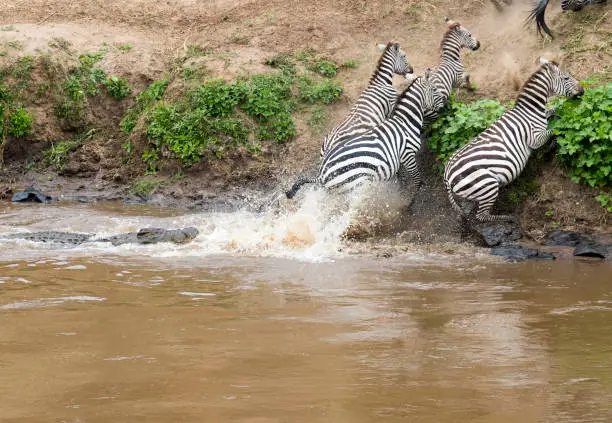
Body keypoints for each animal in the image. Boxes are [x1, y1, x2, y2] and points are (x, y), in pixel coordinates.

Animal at [284, 73, 448, 200]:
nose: (447, 106)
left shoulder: (398, 159)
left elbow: (399, 176)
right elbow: (417, 179)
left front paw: (400, 191)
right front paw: (415, 196)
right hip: (356, 186)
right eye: (435, 89)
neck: (404, 122)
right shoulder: (408, 154)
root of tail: (321, 175)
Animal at [444, 58, 584, 227]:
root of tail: (447, 174)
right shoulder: (535, 138)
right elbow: (554, 129)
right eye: (566, 78)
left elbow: (554, 109)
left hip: (472, 192)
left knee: (466, 212)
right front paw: (551, 146)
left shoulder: (544, 117)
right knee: (482, 216)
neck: (530, 110)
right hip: (488, 186)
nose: (583, 91)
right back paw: (508, 218)